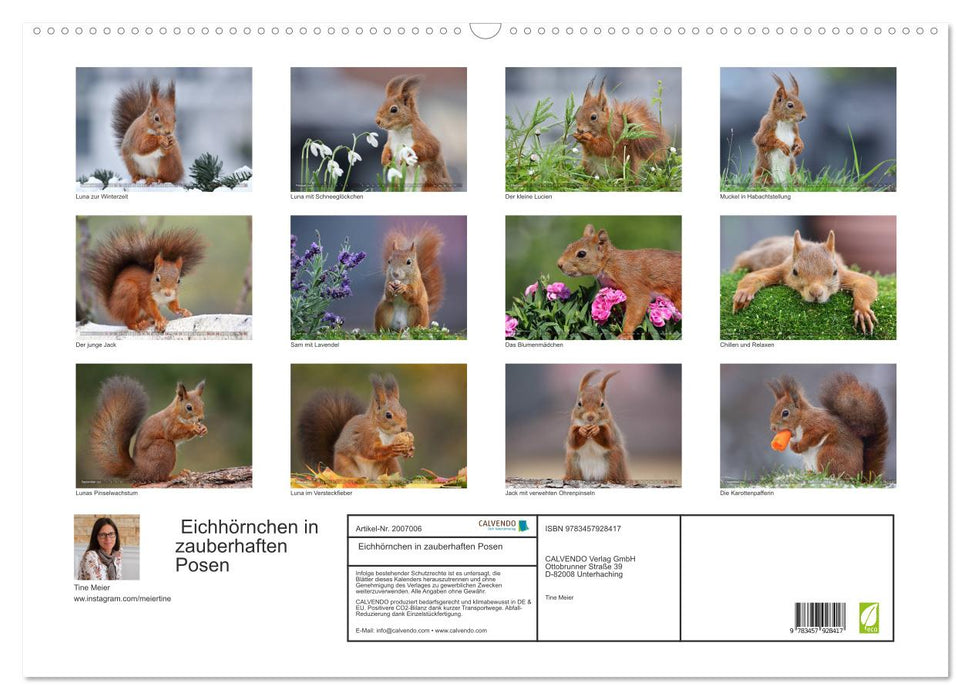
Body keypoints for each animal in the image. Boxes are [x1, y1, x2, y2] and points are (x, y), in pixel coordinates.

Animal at [731, 229, 879, 333]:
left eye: (835, 272)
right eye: (795, 271)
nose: (816, 293)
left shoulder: (843, 274)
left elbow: (866, 282)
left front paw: (862, 310)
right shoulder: (784, 269)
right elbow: (754, 276)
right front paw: (744, 294)